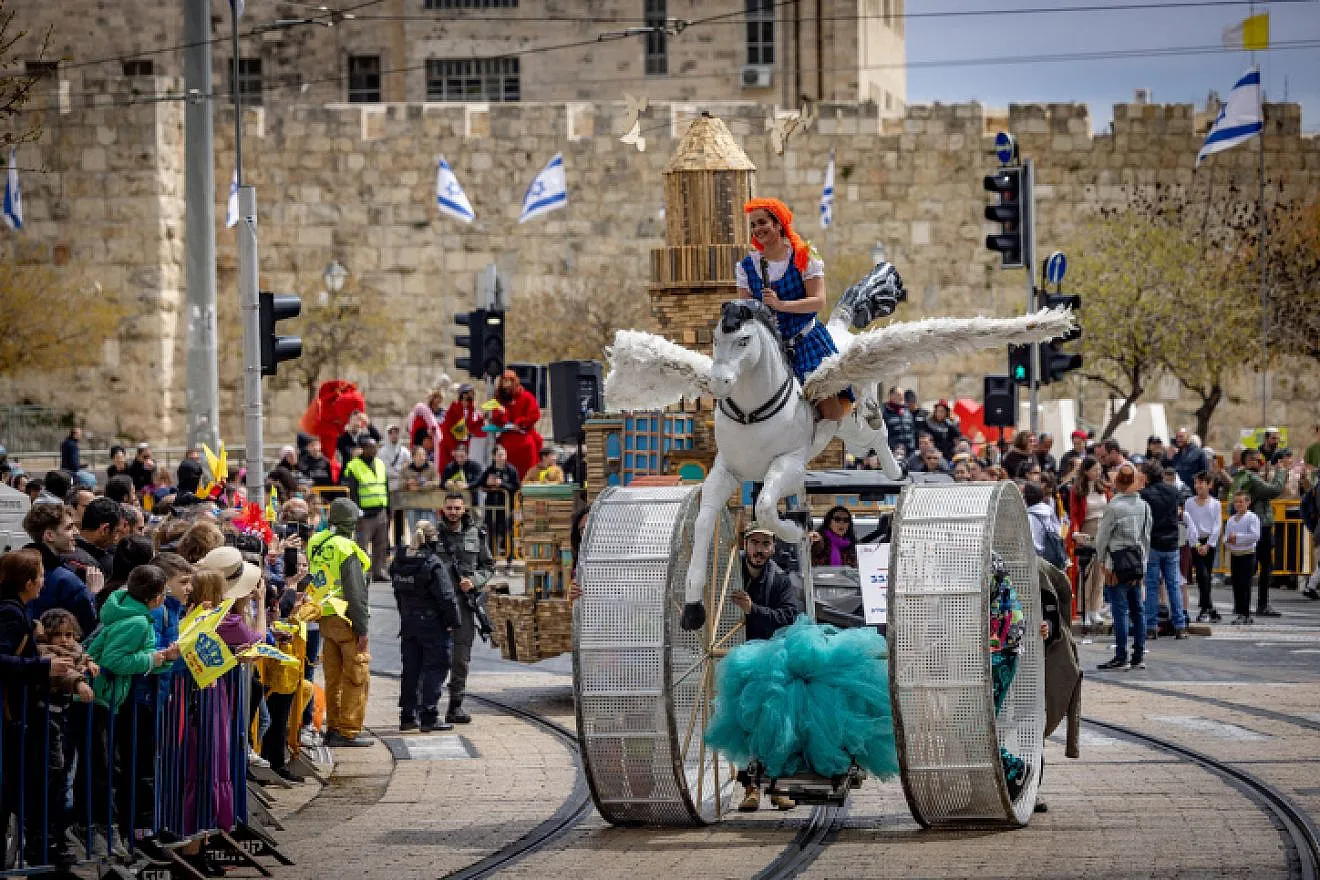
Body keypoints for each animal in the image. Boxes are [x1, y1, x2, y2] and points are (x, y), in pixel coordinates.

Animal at [604, 275, 1071, 625]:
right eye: (717, 338)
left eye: (744, 341)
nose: (718, 384)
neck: (752, 410)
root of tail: (842, 337)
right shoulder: (726, 471)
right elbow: (703, 523)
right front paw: (693, 608)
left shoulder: (788, 466)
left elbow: (766, 508)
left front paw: (795, 532)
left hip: (856, 423)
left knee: (878, 432)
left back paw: (895, 472)